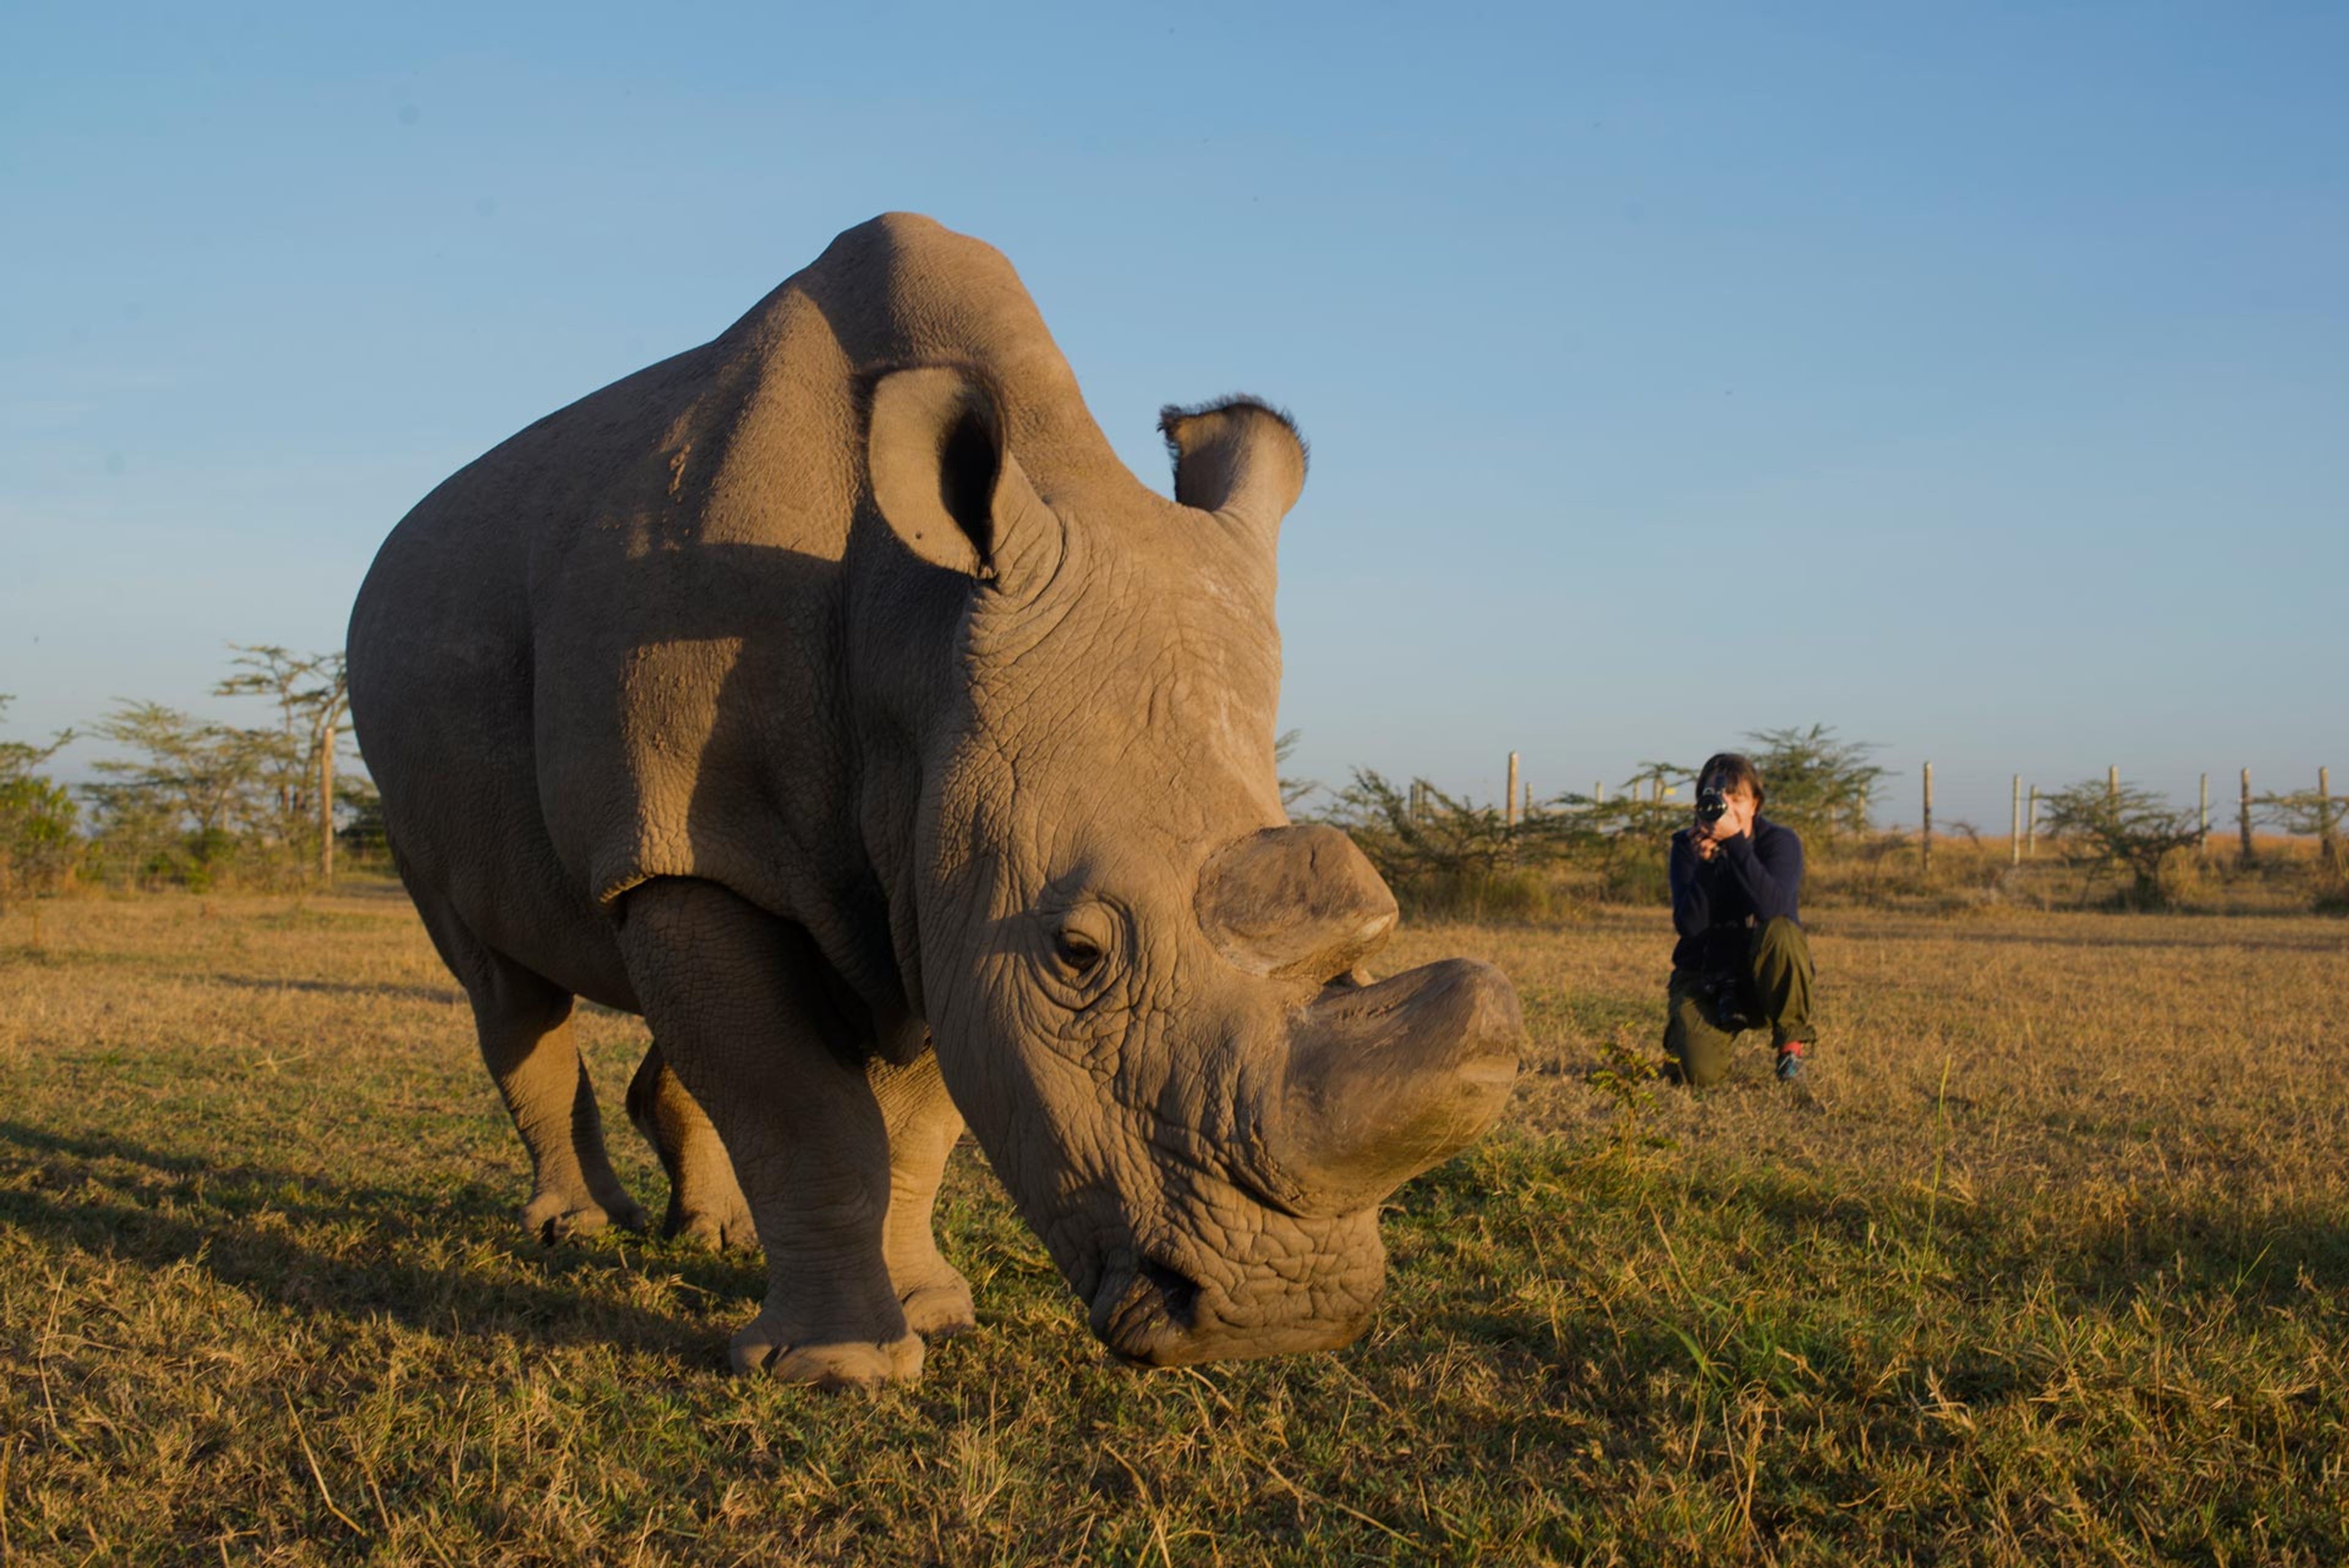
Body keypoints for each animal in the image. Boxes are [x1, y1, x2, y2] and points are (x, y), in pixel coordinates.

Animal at [347, 211, 1522, 1380]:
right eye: (1078, 954)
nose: (1284, 1316)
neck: (914, 632)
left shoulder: (944, 871)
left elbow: (912, 1124)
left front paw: (934, 1309)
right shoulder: (693, 838)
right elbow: (804, 1113)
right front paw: (839, 1372)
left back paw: (710, 1234)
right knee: (505, 983)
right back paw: (578, 1229)